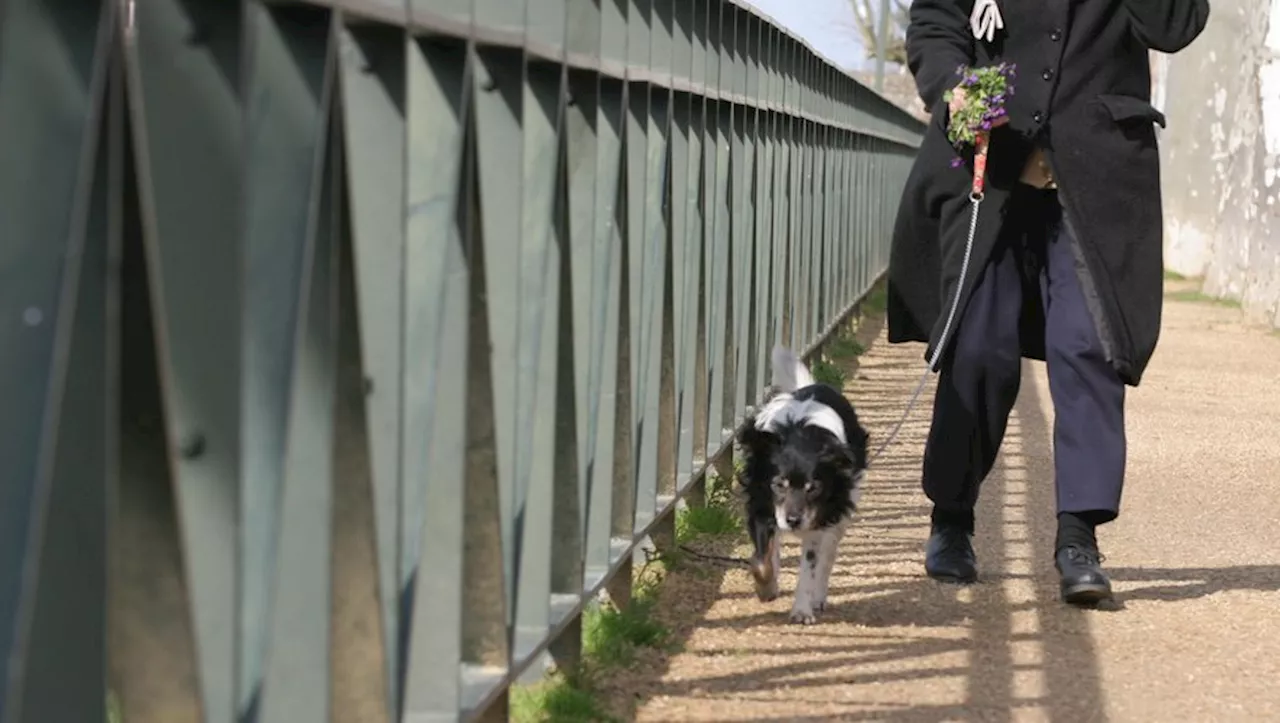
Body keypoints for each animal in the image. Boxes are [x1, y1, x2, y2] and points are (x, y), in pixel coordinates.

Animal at [742, 345, 870, 621]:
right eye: (778, 484)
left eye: (814, 488)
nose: (793, 520)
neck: (800, 436)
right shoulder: (761, 504)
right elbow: (762, 558)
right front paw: (766, 587)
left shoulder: (819, 521)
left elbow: (810, 567)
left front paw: (802, 610)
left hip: (839, 519)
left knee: (827, 559)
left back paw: (819, 597)